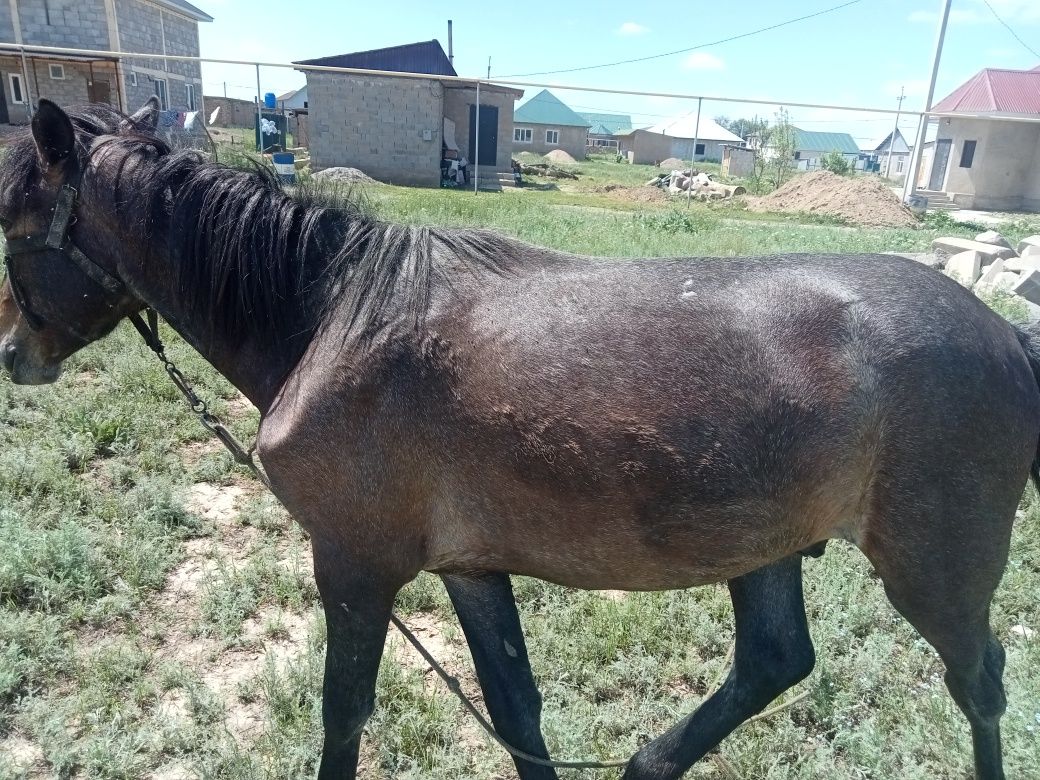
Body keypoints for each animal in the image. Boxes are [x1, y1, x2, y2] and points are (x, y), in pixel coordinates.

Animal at [2, 99, 1040, 780]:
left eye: (12, 227)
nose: (16, 354)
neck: (335, 314)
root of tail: (1005, 334)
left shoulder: (354, 564)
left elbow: (344, 714)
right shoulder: (471, 568)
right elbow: (517, 712)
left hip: (934, 570)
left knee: (978, 683)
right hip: (765, 545)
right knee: (776, 661)